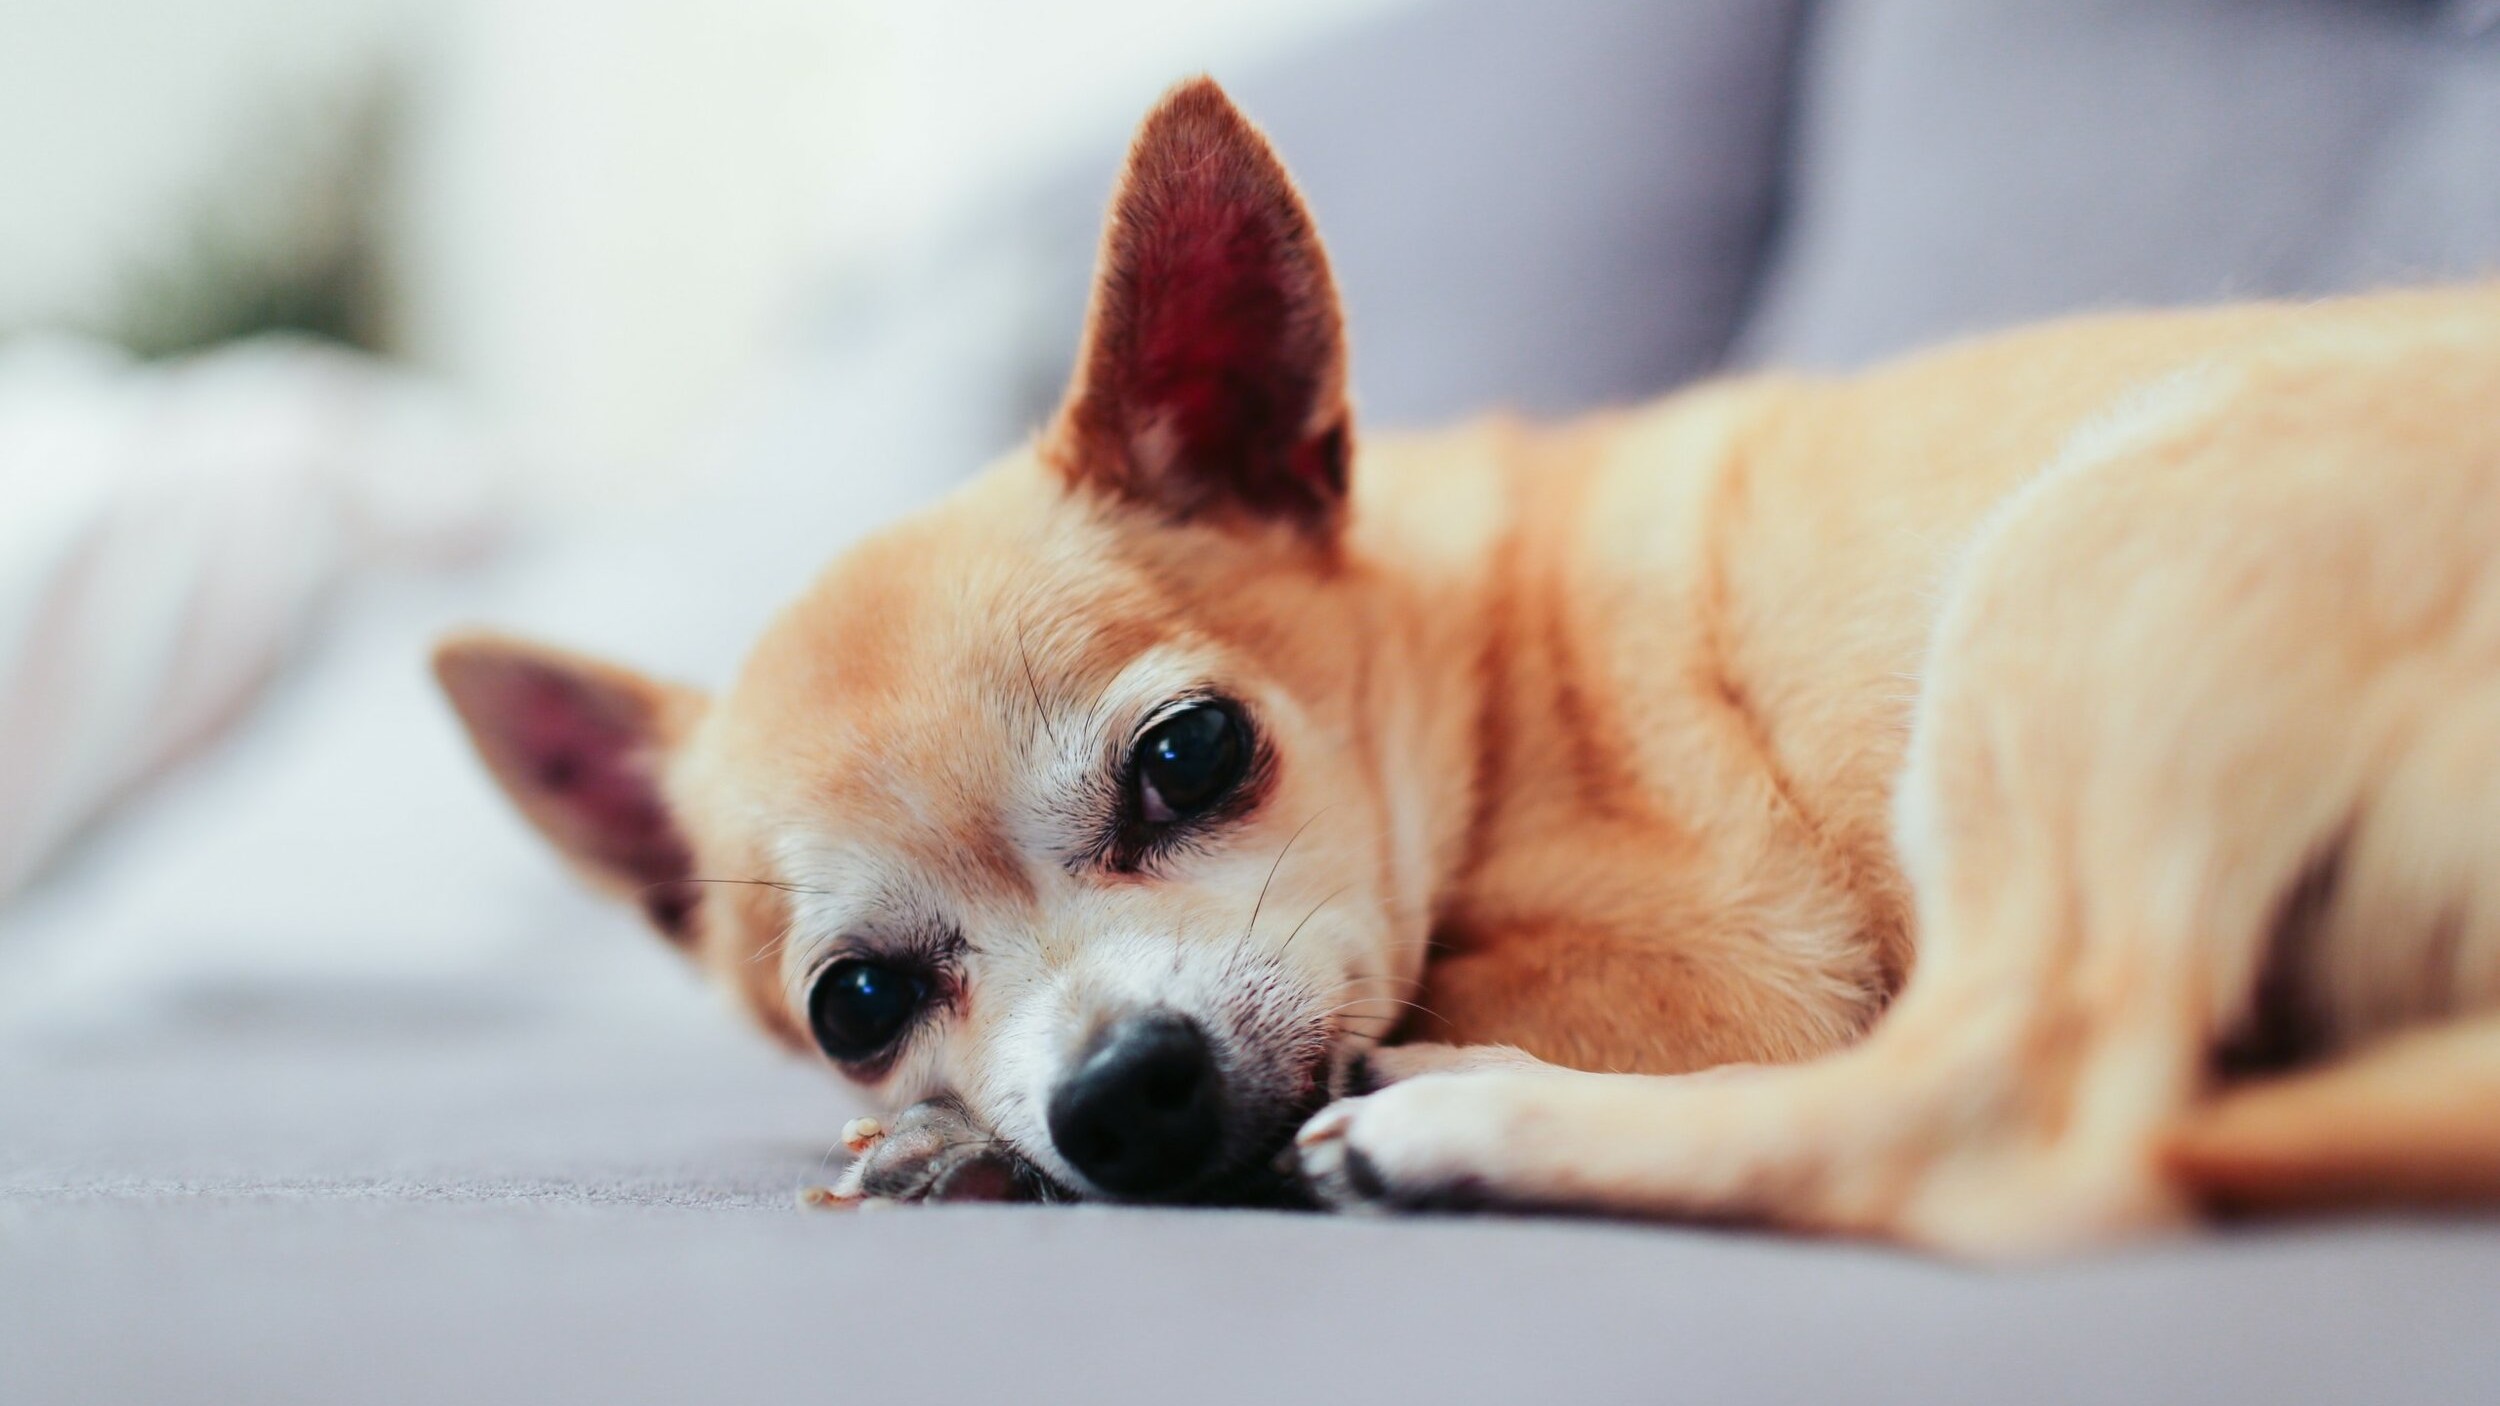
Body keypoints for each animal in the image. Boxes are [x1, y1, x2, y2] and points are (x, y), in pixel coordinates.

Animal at [440, 76, 2500, 1245]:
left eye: (1192, 757)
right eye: (855, 1004)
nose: (1117, 1092)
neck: (1470, 662)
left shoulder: (1730, 981)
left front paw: (976, 1149)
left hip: (2087, 560)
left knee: (2000, 1114)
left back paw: (1462, 1121)